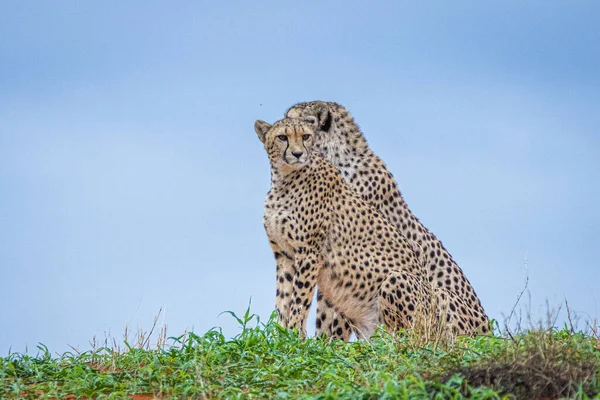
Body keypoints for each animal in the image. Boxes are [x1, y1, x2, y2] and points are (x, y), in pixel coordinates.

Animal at [255, 117, 480, 340]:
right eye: (282, 137)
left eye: (306, 136)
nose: (297, 154)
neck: (284, 179)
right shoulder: (285, 255)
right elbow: (283, 299)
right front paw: (281, 335)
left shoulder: (309, 253)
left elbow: (299, 300)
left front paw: (294, 334)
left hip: (400, 283)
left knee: (406, 338)